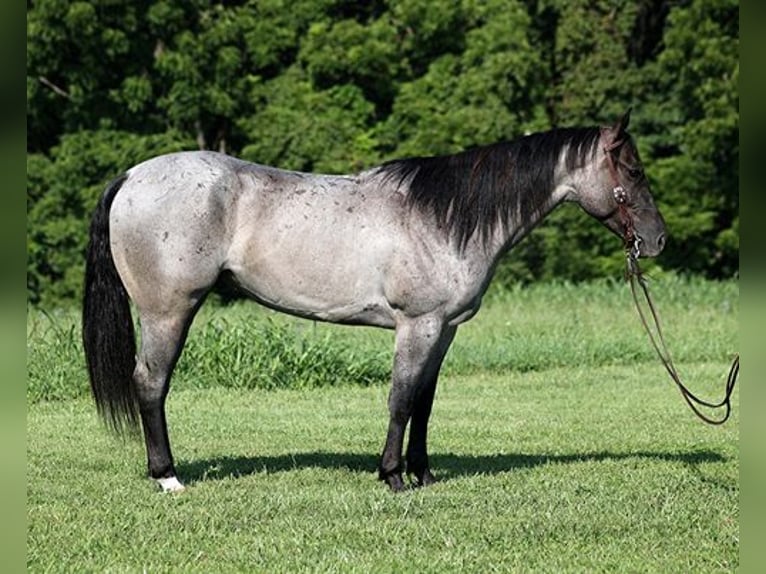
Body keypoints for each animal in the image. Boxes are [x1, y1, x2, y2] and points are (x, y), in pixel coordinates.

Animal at [79, 111, 664, 496]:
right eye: (633, 172)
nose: (657, 241)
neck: (443, 218)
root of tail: (131, 176)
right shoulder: (417, 325)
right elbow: (400, 399)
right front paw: (393, 476)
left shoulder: (444, 329)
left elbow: (425, 402)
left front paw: (424, 474)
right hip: (168, 312)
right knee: (150, 384)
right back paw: (168, 477)